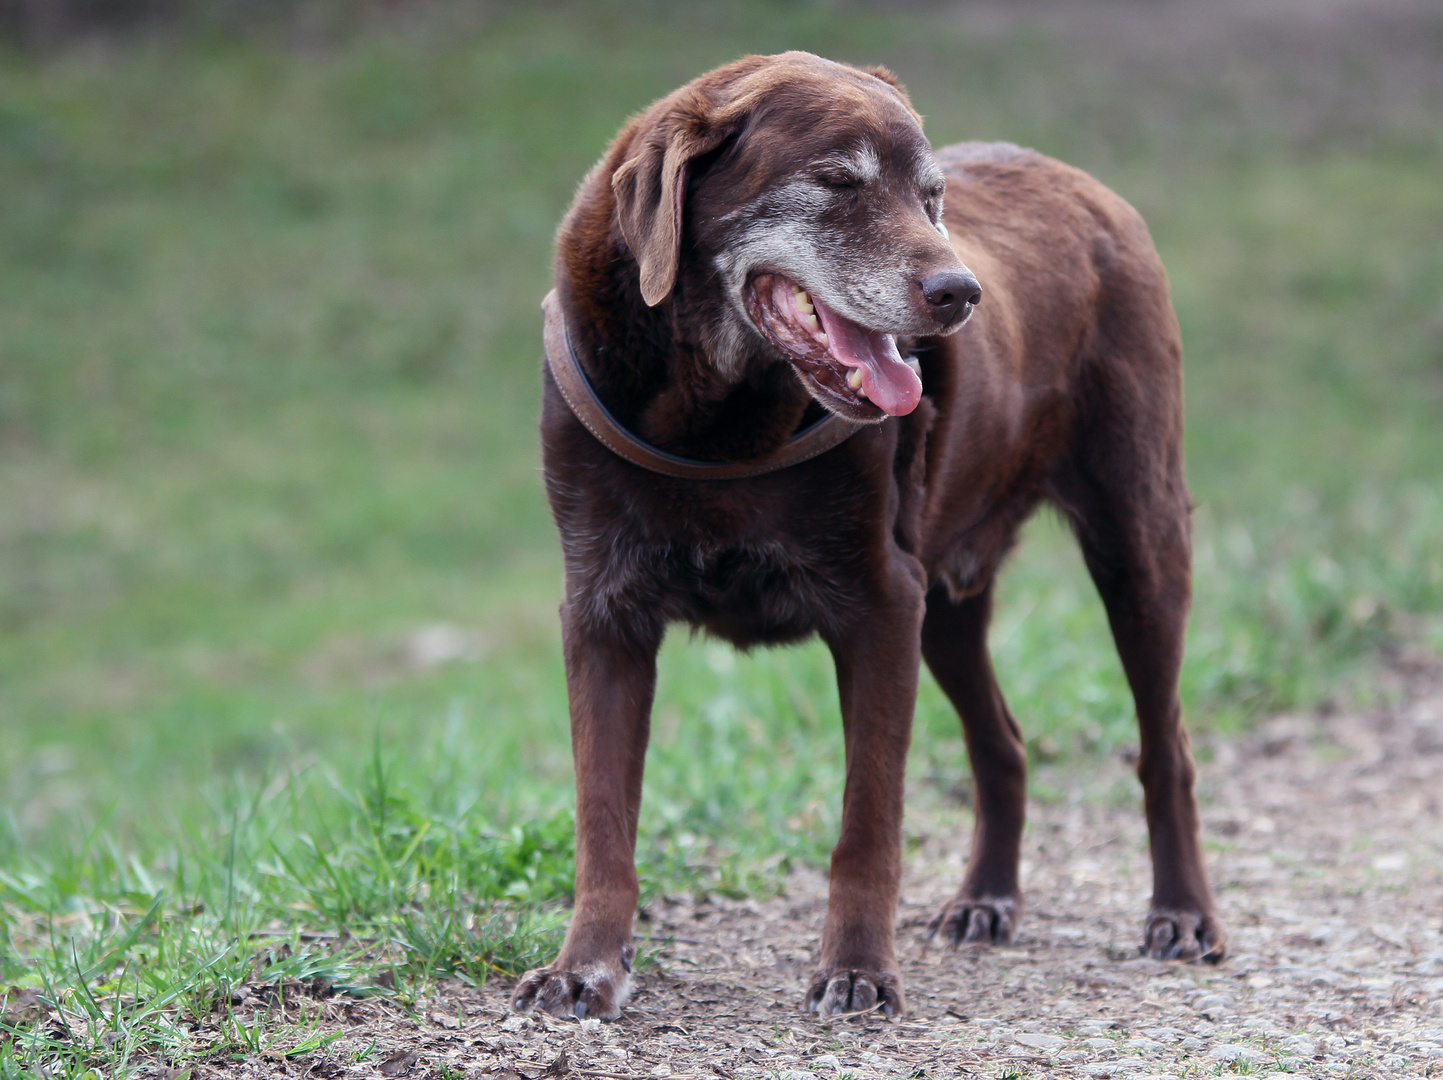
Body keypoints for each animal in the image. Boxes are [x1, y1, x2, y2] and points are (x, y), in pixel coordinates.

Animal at [513, 54, 1223, 1022]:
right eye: (837, 183)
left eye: (930, 197)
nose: (958, 295)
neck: (714, 412)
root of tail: (1089, 188)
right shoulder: (602, 615)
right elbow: (603, 818)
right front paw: (584, 966)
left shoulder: (881, 606)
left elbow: (867, 819)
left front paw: (855, 968)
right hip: (947, 605)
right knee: (1001, 742)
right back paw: (984, 900)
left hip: (1135, 543)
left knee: (1165, 747)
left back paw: (1182, 913)